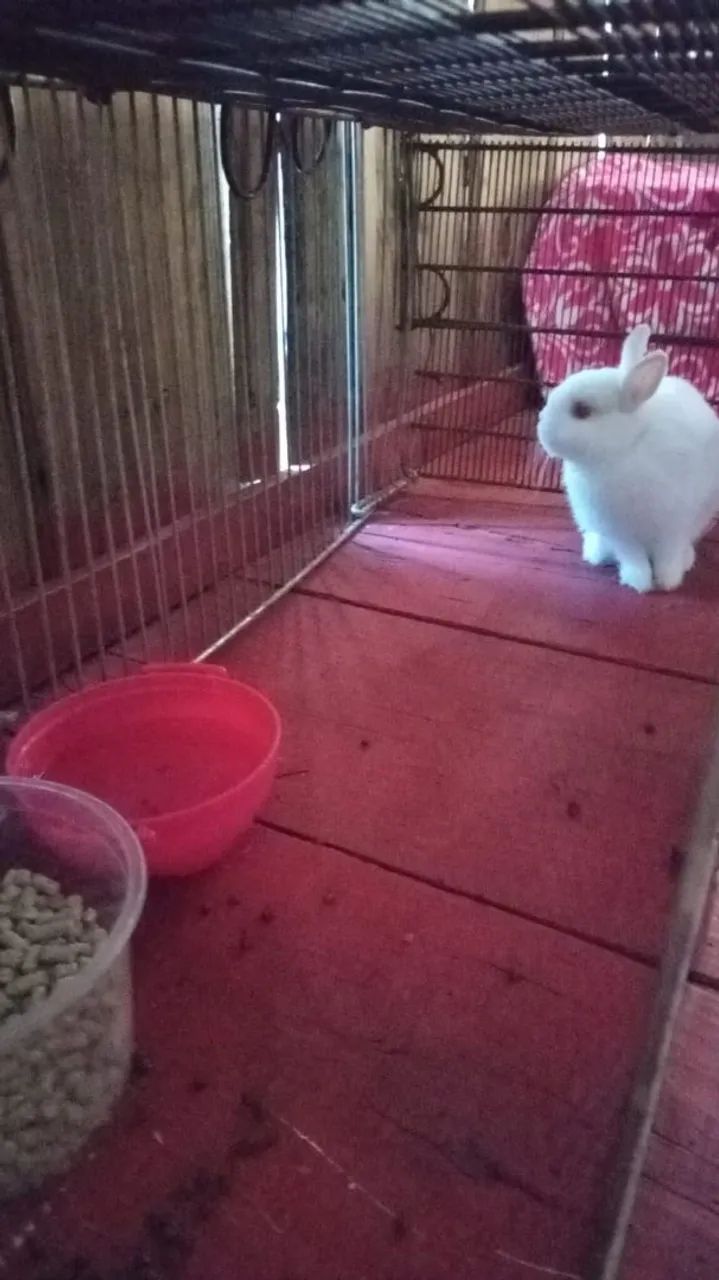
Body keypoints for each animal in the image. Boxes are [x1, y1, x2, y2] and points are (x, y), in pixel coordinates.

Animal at [536, 323, 719, 593]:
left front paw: (668, 581)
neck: (627, 447)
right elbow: (632, 556)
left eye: (582, 410)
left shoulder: (674, 524)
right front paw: (639, 582)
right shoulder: (619, 532)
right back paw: (596, 553)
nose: (542, 430)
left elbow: (669, 554)